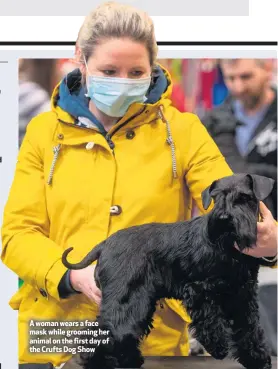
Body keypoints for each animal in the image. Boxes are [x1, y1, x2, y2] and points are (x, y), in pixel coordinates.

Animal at [62, 173, 274, 368]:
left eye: (244, 197)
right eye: (216, 198)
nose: (223, 219)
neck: (228, 246)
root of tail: (105, 245)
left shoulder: (242, 295)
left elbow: (250, 329)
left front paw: (258, 360)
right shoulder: (199, 290)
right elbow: (211, 321)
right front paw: (218, 348)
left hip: (138, 302)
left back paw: (130, 360)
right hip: (126, 299)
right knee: (106, 330)